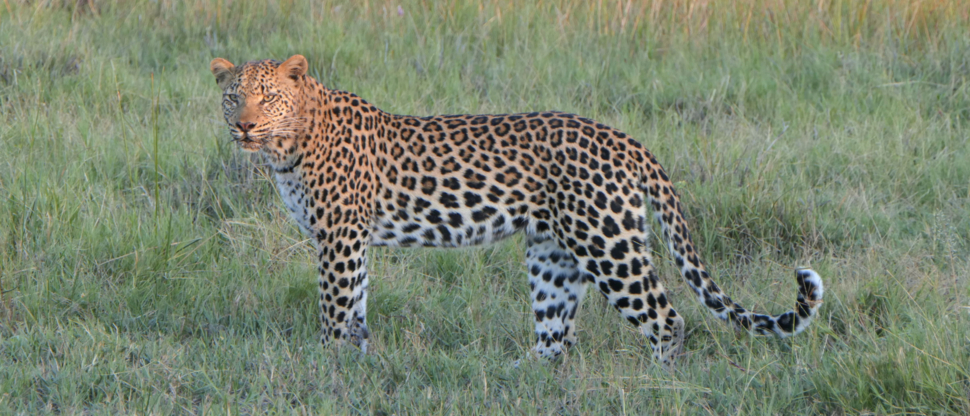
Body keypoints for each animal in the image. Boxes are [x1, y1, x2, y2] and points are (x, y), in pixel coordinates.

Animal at [209, 55, 824, 366]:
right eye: (233, 96)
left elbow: (335, 307)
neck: (289, 143)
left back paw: (662, 382)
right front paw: (357, 363)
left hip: (608, 242)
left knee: (666, 319)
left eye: (267, 96)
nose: (243, 126)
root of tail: (625, 140)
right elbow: (355, 306)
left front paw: (326, 367)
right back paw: (525, 376)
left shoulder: (338, 236)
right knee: (557, 335)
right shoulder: (351, 239)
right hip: (553, 252)